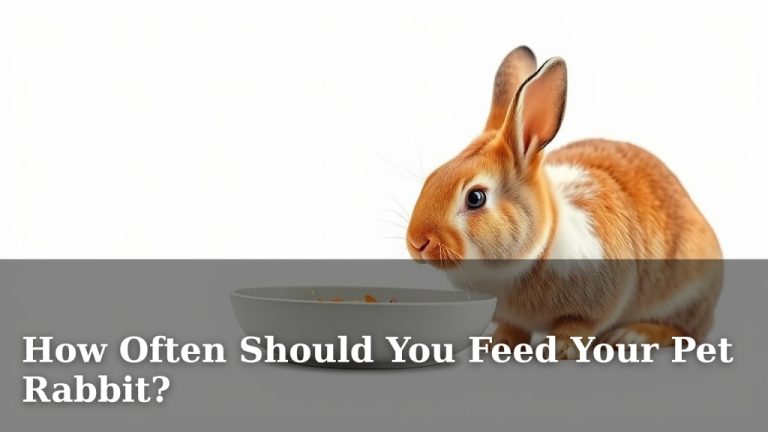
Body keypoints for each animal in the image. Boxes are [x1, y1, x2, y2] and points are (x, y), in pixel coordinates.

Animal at [405, 46, 723, 359]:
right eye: (432, 178)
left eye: (476, 197)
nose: (417, 243)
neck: (540, 249)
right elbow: (512, 328)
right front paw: (497, 344)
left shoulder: (602, 296)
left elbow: (579, 325)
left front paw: (558, 348)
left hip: (689, 295)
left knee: (685, 332)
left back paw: (631, 335)